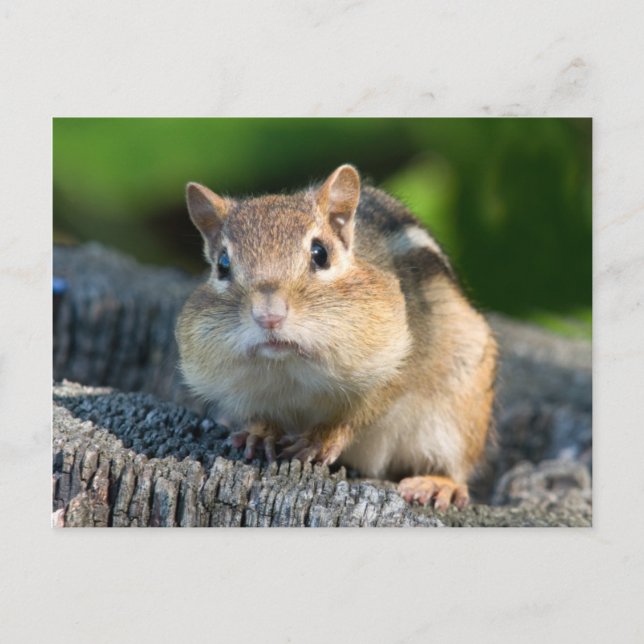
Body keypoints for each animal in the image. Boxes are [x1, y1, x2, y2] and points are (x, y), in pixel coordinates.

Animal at [176, 165, 497, 510]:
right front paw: (259, 433)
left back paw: (438, 484)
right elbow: (256, 414)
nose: (268, 316)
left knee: (455, 466)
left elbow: (361, 411)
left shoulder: (399, 364)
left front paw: (321, 438)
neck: (290, 367)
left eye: (320, 253)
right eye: (222, 264)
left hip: (460, 411)